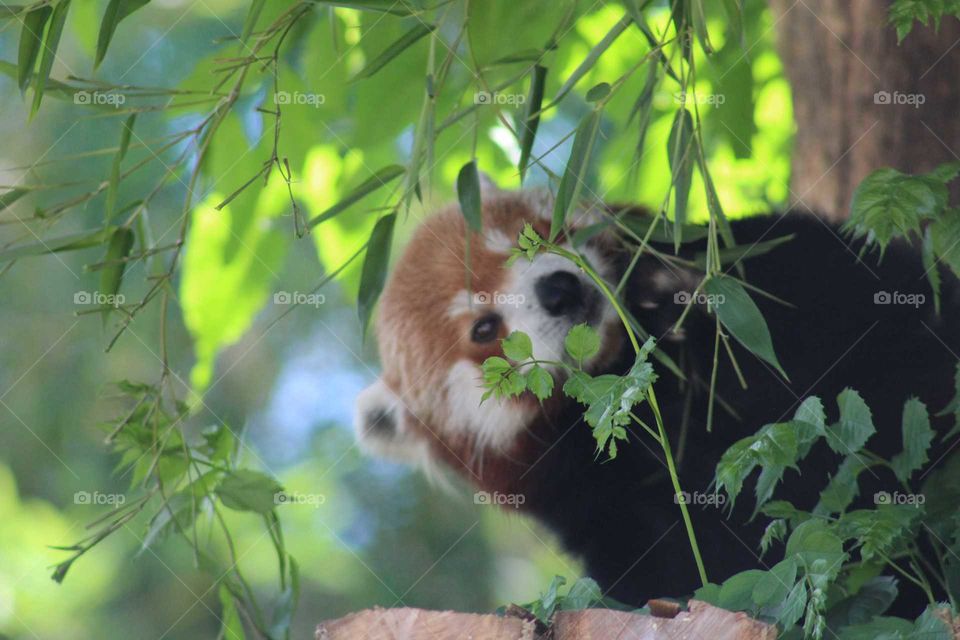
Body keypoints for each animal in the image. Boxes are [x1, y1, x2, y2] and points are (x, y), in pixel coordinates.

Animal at [353, 186, 960, 609]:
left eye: (530, 237)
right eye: (483, 328)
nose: (559, 290)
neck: (638, 382)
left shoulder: (759, 271)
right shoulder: (601, 504)